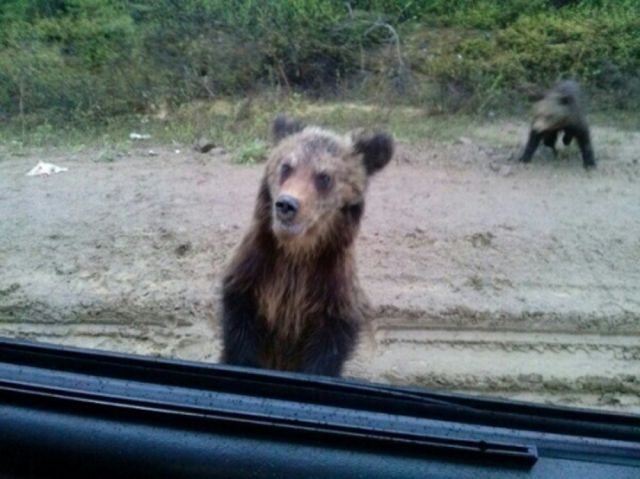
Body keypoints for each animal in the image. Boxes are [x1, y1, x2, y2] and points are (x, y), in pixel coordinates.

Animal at [220, 115, 392, 376]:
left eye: (324, 177)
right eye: (286, 166)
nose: (286, 205)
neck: (296, 252)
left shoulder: (332, 291)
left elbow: (327, 351)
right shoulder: (252, 273)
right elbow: (240, 335)